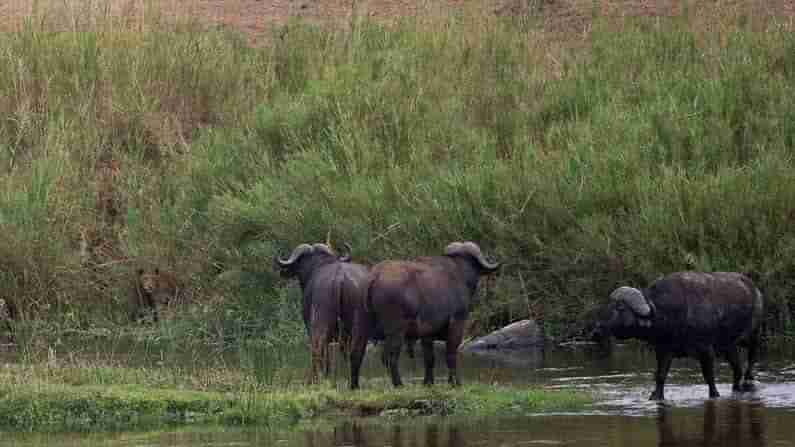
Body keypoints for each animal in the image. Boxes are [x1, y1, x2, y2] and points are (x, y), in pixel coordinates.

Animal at [276, 243, 370, 386]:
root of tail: (340, 279)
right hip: (357, 329)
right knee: (355, 351)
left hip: (320, 326)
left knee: (317, 349)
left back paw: (314, 379)